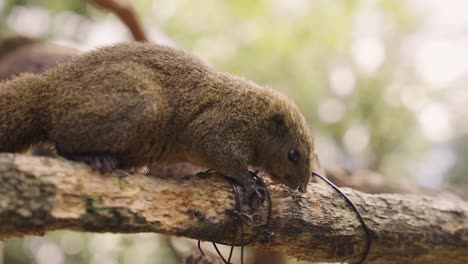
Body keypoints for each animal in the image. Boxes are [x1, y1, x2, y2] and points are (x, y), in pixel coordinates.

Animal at [0, 42, 316, 200]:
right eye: (293, 154)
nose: (302, 188)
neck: (255, 114)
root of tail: (48, 88)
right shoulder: (220, 126)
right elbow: (222, 156)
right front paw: (250, 182)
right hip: (137, 102)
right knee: (62, 142)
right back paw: (93, 158)